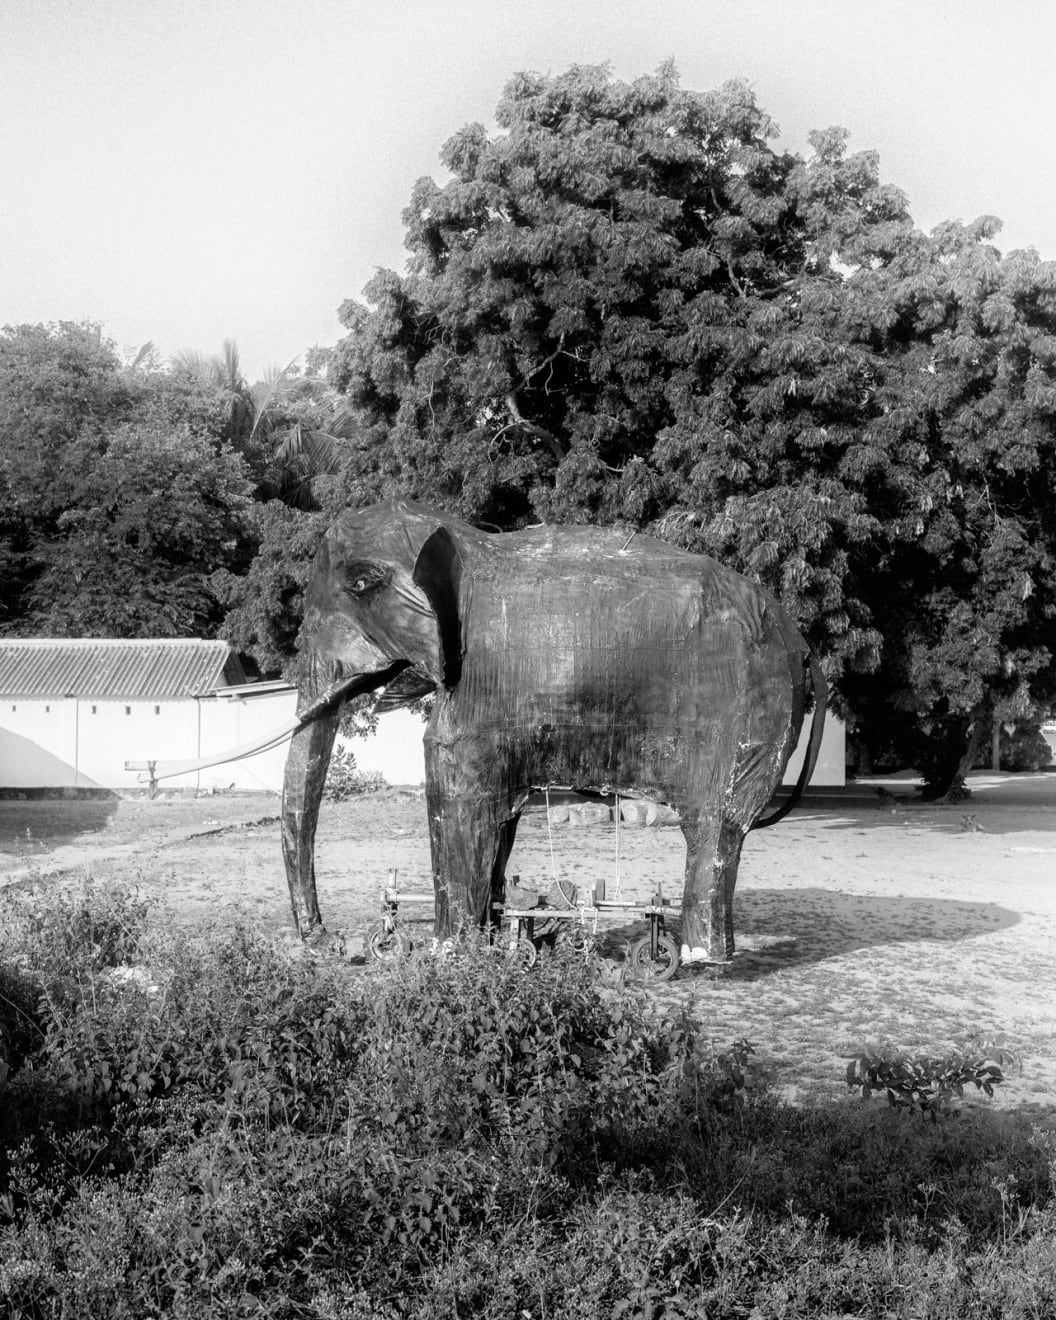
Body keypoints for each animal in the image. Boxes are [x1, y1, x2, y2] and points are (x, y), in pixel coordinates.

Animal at [281, 497, 826, 964]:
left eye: (360, 584)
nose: (335, 944)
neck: (461, 536)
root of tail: (799, 642)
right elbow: (497, 818)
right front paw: (495, 942)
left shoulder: (479, 693)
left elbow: (453, 794)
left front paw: (448, 955)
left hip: (748, 713)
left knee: (716, 826)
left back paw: (696, 958)